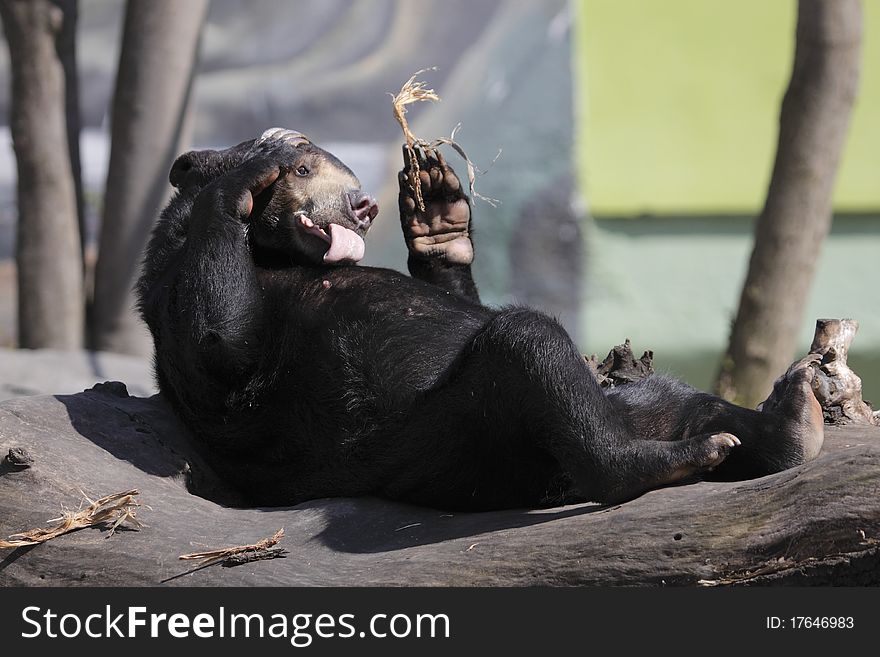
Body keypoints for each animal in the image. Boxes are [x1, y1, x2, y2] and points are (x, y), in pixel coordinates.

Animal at [134, 127, 820, 508]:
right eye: (305, 171)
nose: (362, 205)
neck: (276, 252)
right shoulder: (172, 288)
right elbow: (219, 344)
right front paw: (253, 170)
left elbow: (460, 294)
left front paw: (437, 211)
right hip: (461, 442)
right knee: (528, 345)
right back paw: (680, 456)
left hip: (612, 408)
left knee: (673, 395)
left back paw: (791, 420)